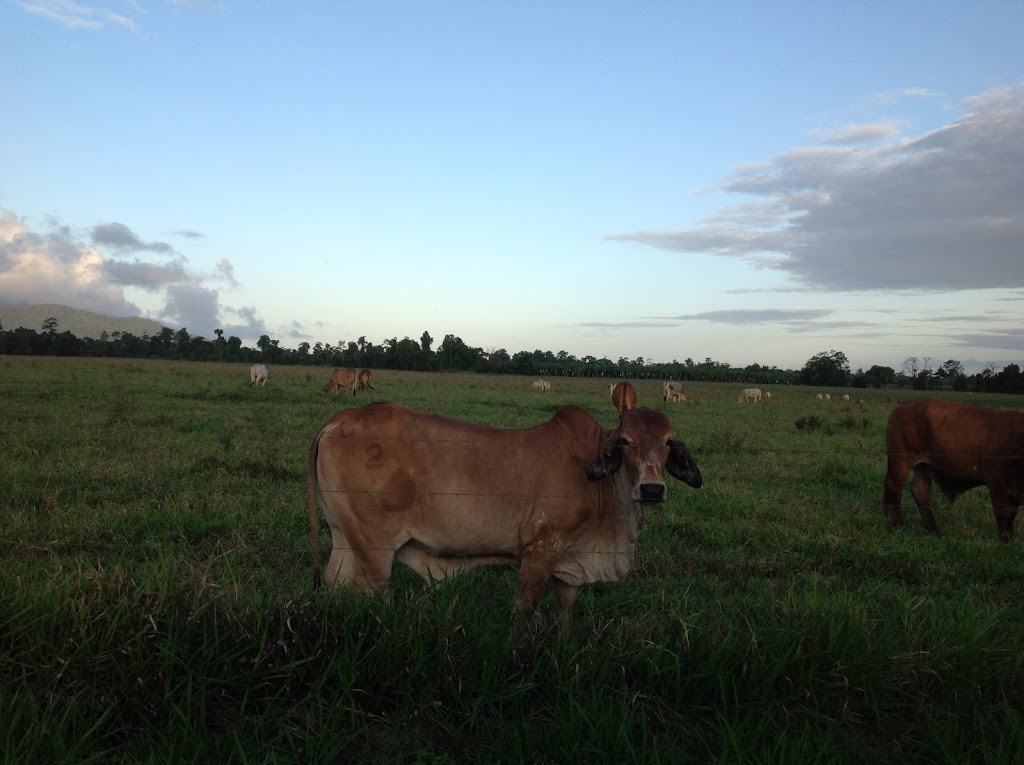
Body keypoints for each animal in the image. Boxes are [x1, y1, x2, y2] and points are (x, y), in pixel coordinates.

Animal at [305, 401, 704, 614]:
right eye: (627, 442)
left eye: (668, 442)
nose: (652, 488)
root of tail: (338, 420)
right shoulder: (540, 551)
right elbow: (521, 612)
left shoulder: (570, 564)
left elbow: (565, 609)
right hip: (374, 553)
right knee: (367, 593)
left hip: (344, 538)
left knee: (334, 584)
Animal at [880, 397, 1024, 540]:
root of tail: (902, 406)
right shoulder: (998, 483)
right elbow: (1004, 514)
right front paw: (1005, 541)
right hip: (900, 461)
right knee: (894, 486)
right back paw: (897, 523)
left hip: (922, 466)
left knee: (920, 490)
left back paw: (933, 529)